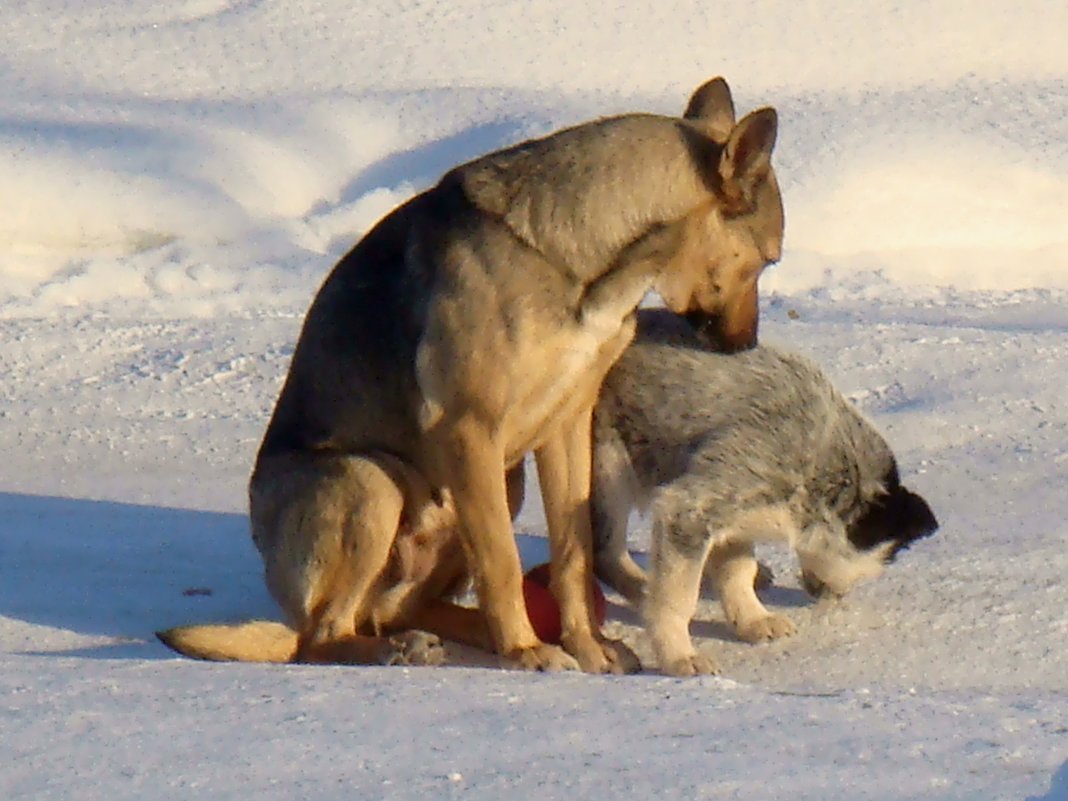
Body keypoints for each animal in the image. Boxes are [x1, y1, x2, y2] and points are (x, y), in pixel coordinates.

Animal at [154, 78, 786, 674]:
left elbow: (573, 552)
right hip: (372, 480)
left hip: (502, 483)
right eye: (769, 259)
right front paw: (527, 652)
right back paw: (404, 648)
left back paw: (457, 635)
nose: (746, 345)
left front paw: (587, 645)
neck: (583, 266)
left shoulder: (566, 428)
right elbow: (503, 562)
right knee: (324, 634)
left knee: (395, 608)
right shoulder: (470, 430)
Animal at [593, 307, 935, 679]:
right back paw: (643, 591)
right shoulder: (688, 508)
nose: (835, 598)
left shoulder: (731, 518)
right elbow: (677, 599)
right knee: (606, 554)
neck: (823, 468)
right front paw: (680, 657)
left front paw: (754, 621)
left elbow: (737, 572)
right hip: (608, 471)